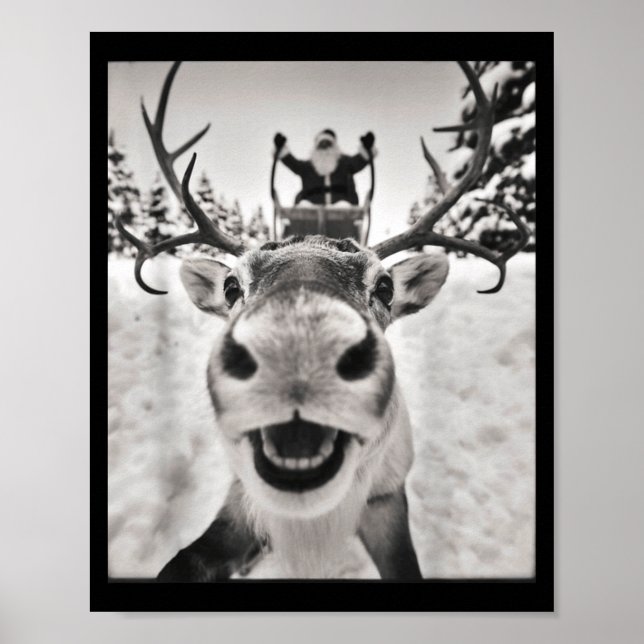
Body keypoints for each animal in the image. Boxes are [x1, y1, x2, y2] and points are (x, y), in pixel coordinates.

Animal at [115, 61, 530, 580]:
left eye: (385, 287)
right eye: (231, 286)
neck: (313, 525)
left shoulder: (387, 498)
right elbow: (180, 563)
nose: (297, 350)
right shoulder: (240, 500)